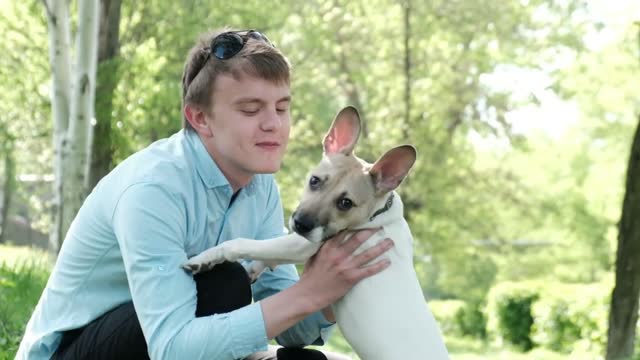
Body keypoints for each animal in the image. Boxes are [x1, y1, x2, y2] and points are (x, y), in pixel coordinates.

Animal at [182, 105, 448, 358]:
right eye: (314, 181)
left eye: (346, 203)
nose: (300, 223)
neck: (378, 215)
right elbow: (267, 251)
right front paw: (253, 269)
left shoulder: (304, 244)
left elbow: (243, 243)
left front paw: (204, 259)